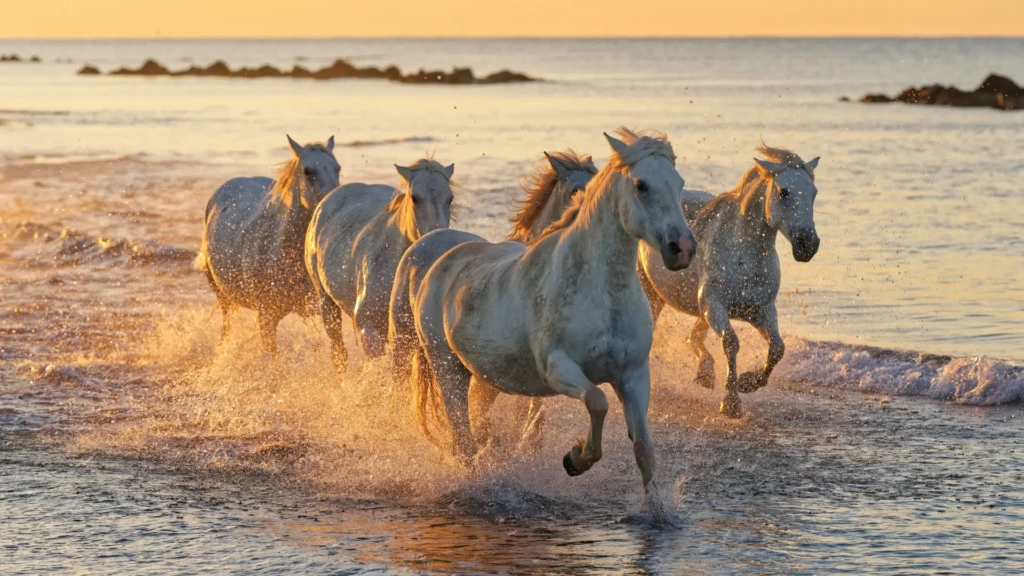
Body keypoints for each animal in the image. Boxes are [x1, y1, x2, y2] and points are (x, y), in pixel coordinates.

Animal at [196, 135, 340, 354]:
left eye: (337, 168)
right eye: (307, 171)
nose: (333, 202)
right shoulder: (267, 316)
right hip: (221, 293)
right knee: (227, 324)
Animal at [305, 157, 455, 372]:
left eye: (450, 198)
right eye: (415, 198)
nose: (437, 237)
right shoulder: (369, 327)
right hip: (326, 301)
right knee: (338, 350)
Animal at [409, 129, 696, 493]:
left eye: (680, 183)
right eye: (641, 185)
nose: (683, 248)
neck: (603, 293)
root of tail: (437, 263)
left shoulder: (633, 374)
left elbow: (644, 449)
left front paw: (656, 505)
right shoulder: (558, 368)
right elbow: (597, 402)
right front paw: (576, 459)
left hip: (482, 376)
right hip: (447, 370)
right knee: (463, 439)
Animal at [638, 140, 820, 418]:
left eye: (814, 192)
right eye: (784, 192)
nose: (808, 245)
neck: (743, 254)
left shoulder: (760, 309)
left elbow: (777, 348)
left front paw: (748, 382)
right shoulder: (714, 305)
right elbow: (731, 342)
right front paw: (731, 402)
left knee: (694, 337)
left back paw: (705, 372)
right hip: (652, 293)